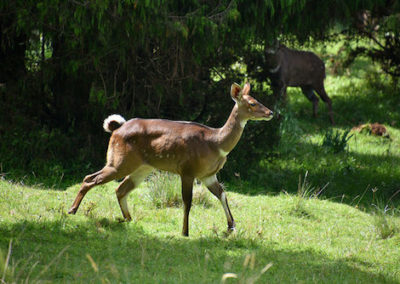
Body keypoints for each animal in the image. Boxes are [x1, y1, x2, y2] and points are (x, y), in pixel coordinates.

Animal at [69, 83, 274, 236]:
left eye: (258, 100)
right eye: (252, 103)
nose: (270, 112)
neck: (215, 143)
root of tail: (116, 129)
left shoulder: (208, 175)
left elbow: (222, 194)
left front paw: (231, 227)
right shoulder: (188, 169)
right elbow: (187, 201)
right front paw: (185, 232)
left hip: (141, 167)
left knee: (120, 188)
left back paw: (128, 218)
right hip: (119, 161)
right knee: (90, 178)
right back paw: (72, 210)